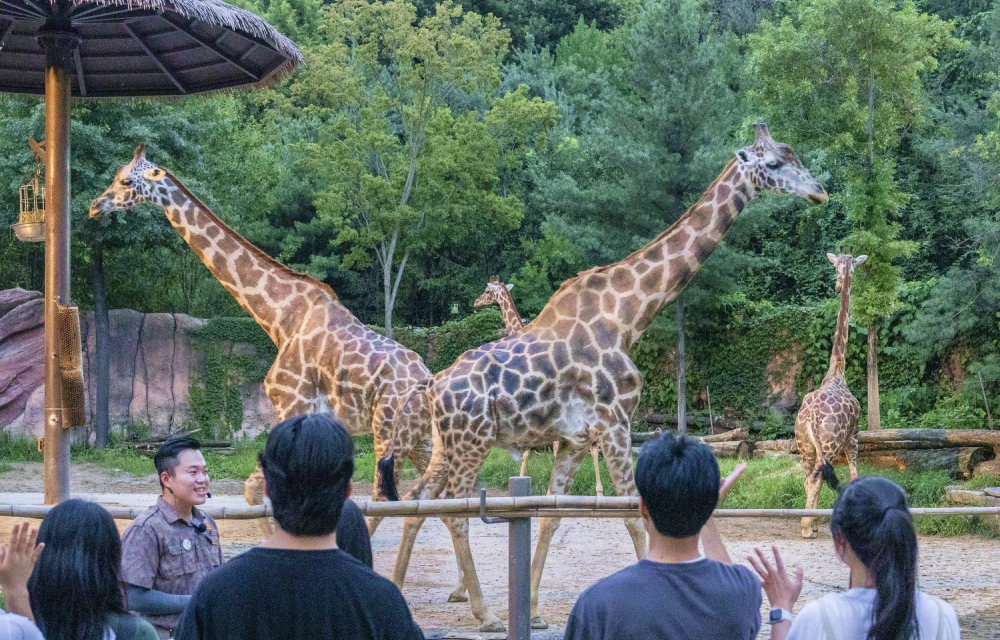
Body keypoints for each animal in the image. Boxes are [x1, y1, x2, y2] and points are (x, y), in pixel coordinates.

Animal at [93, 145, 434, 536]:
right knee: (432, 498)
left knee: (386, 500)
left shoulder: (292, 406)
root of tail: (428, 381)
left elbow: (257, 492)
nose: (95, 206)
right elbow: (259, 492)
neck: (279, 317)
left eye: (123, 180)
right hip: (420, 438)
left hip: (388, 432)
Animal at [792, 252, 864, 536]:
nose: (836, 285)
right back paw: (805, 527)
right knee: (816, 479)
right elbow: (855, 476)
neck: (837, 371)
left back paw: (809, 523)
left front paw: (816, 522)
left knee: (808, 478)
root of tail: (812, 418)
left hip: (804, 445)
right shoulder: (853, 438)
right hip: (831, 444)